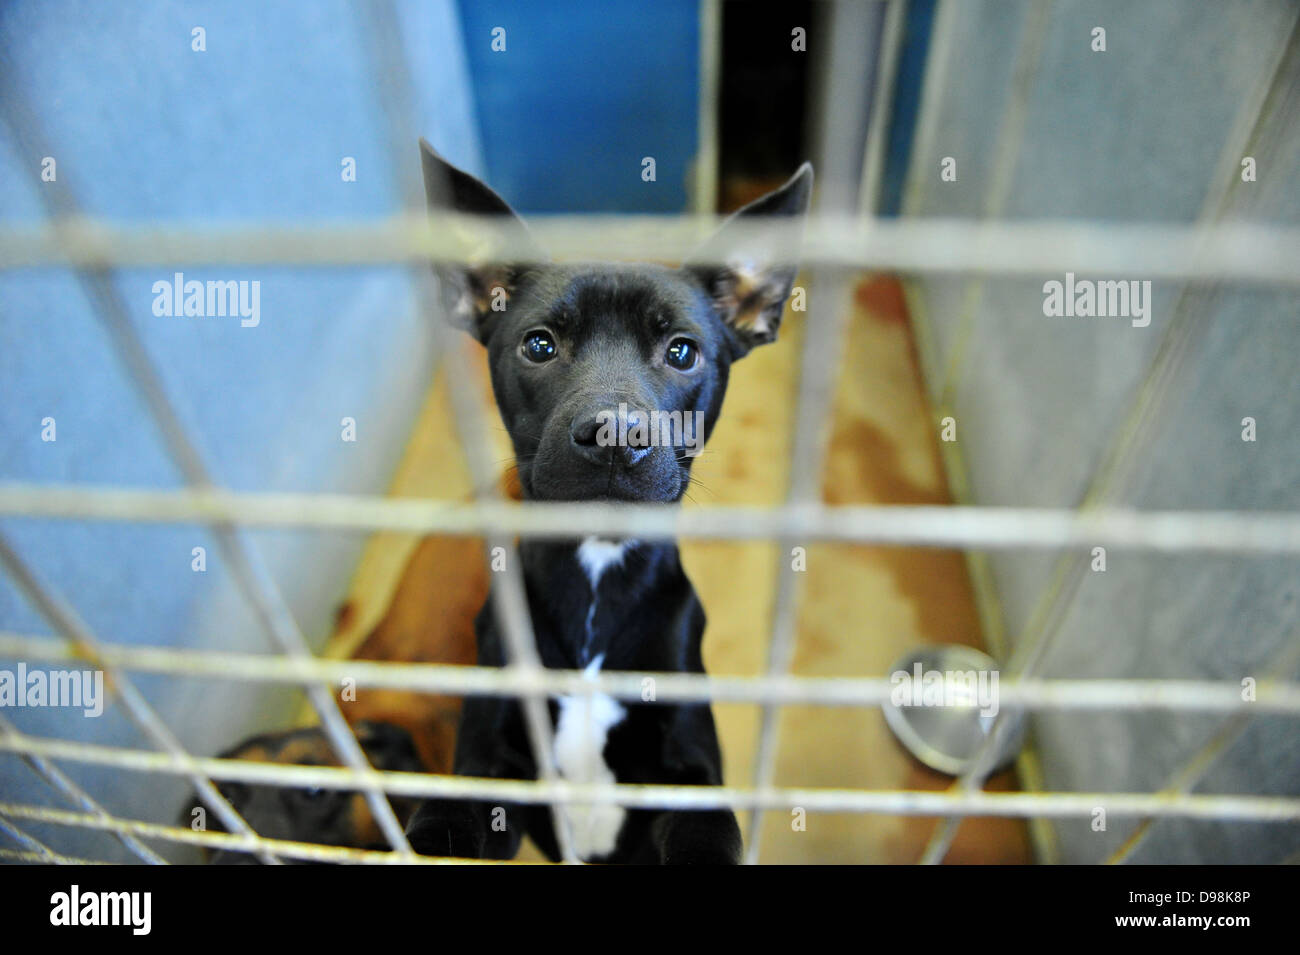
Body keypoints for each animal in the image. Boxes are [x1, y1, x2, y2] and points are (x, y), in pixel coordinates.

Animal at [405, 143, 811, 867]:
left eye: (682, 350)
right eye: (539, 344)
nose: (617, 433)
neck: (598, 569)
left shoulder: (689, 771)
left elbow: (707, 832)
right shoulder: (493, 761)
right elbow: (453, 815)